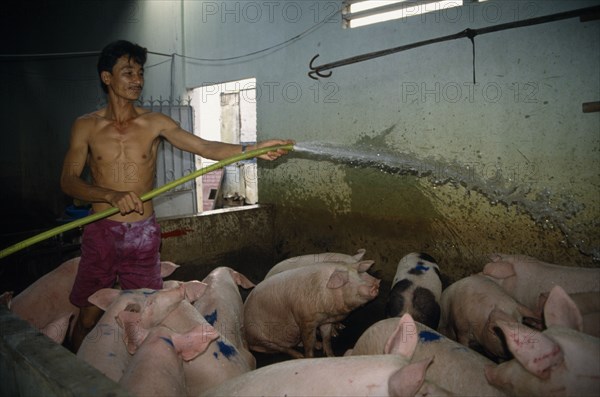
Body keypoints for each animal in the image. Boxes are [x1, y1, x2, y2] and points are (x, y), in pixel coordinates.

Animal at [244, 260, 380, 358]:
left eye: (359, 274)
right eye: (346, 280)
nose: (376, 284)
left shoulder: (326, 321)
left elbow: (327, 339)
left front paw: (332, 356)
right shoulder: (305, 321)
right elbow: (308, 343)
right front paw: (309, 358)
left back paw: (317, 346)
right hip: (261, 337)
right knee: (282, 348)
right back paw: (299, 356)